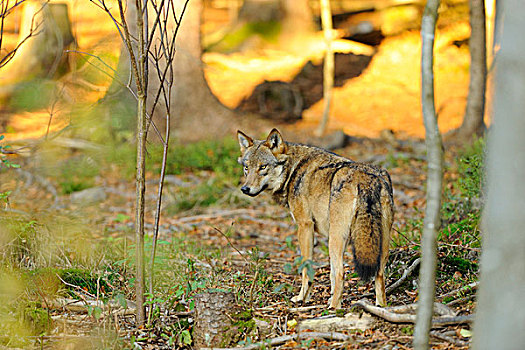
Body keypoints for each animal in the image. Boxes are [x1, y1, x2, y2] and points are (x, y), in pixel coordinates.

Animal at [237, 129, 392, 308]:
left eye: (262, 167)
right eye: (246, 168)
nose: (245, 189)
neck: (293, 170)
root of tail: (365, 178)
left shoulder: (305, 226)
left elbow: (307, 269)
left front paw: (302, 298)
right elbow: (331, 274)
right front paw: (329, 296)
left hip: (336, 239)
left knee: (342, 273)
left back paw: (334, 308)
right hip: (379, 241)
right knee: (378, 274)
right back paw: (380, 306)